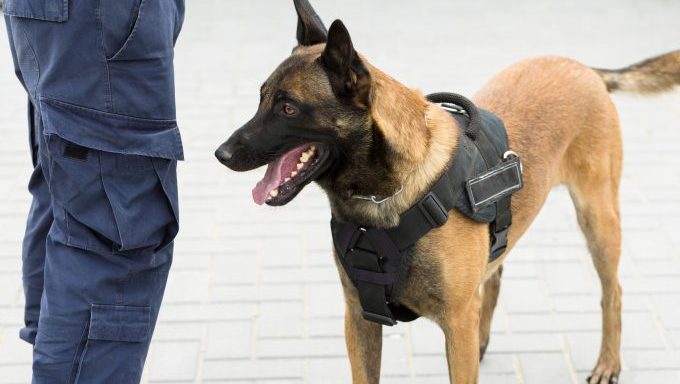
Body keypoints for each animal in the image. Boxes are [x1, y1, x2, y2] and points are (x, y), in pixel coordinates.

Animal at [215, 1, 680, 382]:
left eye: (288, 108)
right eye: (260, 98)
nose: (221, 154)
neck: (384, 197)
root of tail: (583, 66)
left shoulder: (454, 323)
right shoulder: (360, 318)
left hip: (598, 218)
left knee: (612, 291)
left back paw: (608, 363)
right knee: (494, 276)